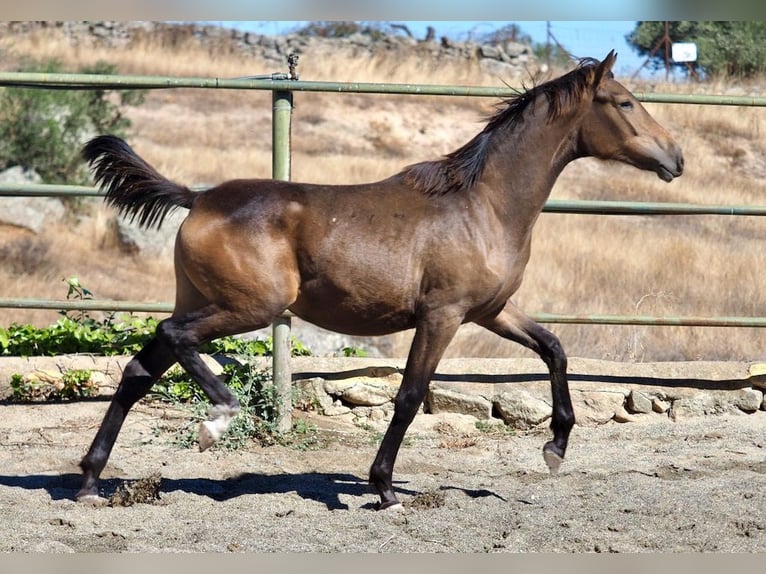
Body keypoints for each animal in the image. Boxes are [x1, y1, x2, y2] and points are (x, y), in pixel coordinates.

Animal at [76, 51, 684, 510]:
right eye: (625, 102)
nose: (676, 157)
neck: (483, 205)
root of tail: (197, 198)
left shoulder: (490, 311)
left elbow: (554, 348)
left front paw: (556, 447)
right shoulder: (442, 315)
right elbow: (411, 395)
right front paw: (384, 488)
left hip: (204, 299)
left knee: (139, 369)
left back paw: (89, 480)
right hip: (252, 306)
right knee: (171, 339)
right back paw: (217, 421)